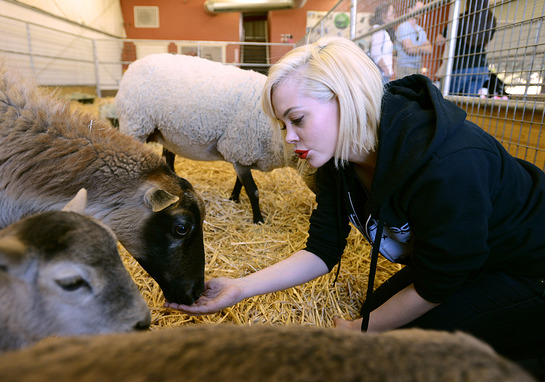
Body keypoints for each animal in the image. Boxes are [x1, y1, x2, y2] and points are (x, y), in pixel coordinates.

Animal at [115, 52, 306, 222]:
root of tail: (133, 66)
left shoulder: (241, 154)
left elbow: (240, 182)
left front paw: (234, 198)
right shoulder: (240, 147)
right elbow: (253, 191)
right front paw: (258, 220)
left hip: (163, 132)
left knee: (168, 159)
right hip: (135, 124)